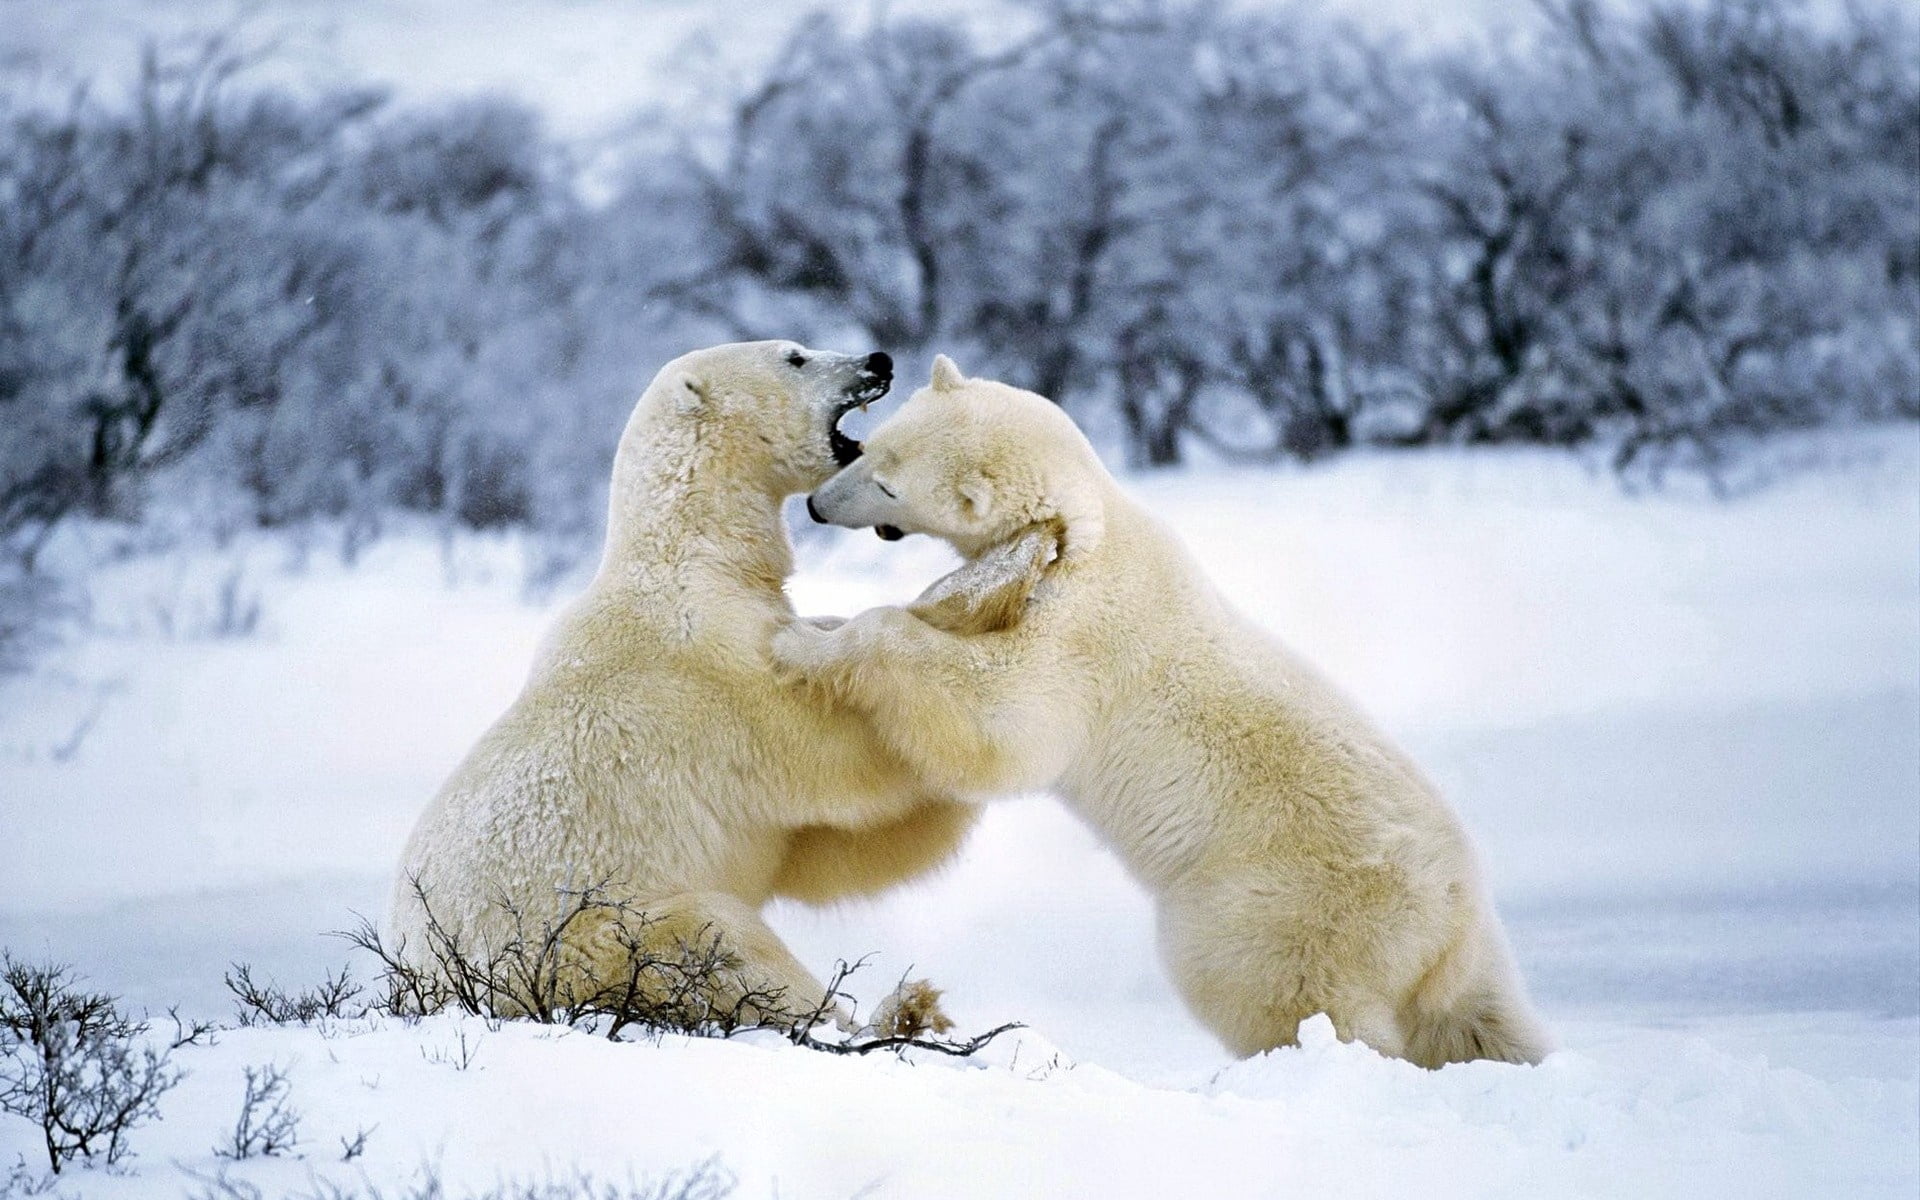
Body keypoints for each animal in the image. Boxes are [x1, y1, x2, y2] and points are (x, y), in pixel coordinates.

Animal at [388, 341, 977, 1028]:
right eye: (796, 357)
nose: (878, 360)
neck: (692, 559)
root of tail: (422, 985)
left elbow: (823, 852)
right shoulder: (712, 673)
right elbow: (838, 759)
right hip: (588, 940)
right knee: (717, 940)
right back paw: (884, 1011)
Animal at [772, 355, 1551, 1067]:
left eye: (887, 483)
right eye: (872, 447)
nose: (817, 506)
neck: (1089, 528)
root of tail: (1456, 914)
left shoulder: (1084, 638)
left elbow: (1001, 720)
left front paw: (805, 645)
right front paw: (817, 622)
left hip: (1281, 904)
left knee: (1277, 989)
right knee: (1475, 1019)